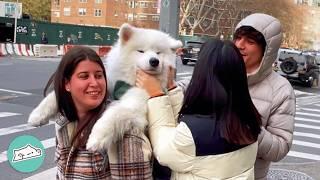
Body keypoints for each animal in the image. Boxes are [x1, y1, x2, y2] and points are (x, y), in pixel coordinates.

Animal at [28, 23, 182, 151]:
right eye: (141, 51)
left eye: (158, 52)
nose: (154, 61)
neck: (128, 79)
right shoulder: (108, 84)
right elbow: (52, 97)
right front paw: (37, 115)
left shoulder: (135, 102)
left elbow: (113, 114)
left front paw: (96, 138)